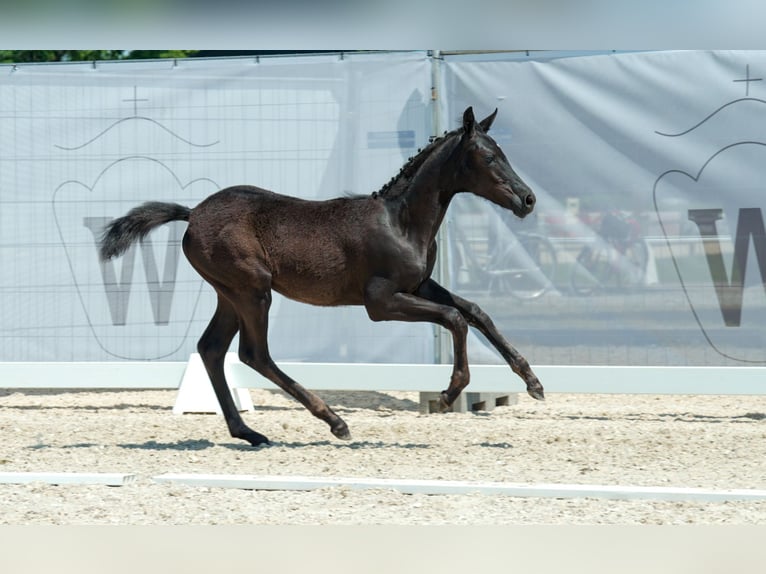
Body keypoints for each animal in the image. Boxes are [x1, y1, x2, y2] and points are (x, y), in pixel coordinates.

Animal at [100, 106, 545, 447]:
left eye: (502, 152)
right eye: (488, 158)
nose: (528, 200)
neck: (401, 222)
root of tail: (192, 214)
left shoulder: (418, 285)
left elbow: (475, 311)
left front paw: (533, 382)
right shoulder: (380, 301)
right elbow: (455, 318)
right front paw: (451, 391)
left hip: (228, 293)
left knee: (211, 348)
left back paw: (249, 433)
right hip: (253, 290)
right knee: (253, 353)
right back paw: (334, 421)